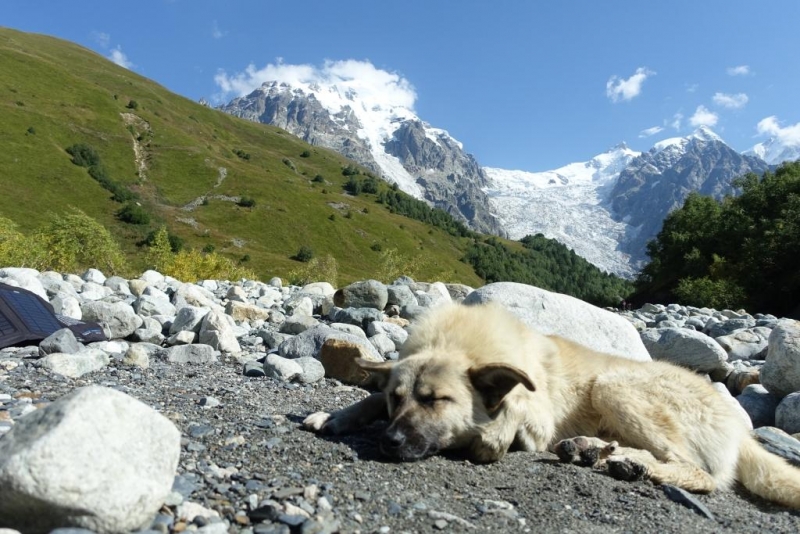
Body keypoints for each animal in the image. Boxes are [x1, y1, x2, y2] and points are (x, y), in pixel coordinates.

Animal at [304, 304, 800, 508]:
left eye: (436, 400)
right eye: (398, 399)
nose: (388, 443)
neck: (459, 341)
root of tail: (739, 427)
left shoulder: (535, 413)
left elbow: (513, 412)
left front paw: (493, 435)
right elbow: (367, 397)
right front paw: (338, 415)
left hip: (615, 385)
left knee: (699, 472)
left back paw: (629, 462)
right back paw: (597, 451)